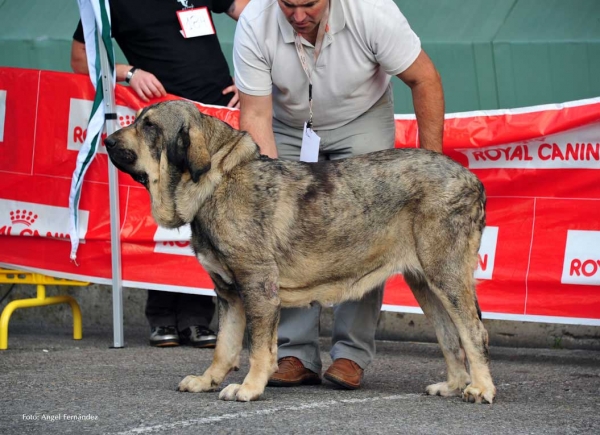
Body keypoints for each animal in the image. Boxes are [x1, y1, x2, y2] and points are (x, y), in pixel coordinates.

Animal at [103, 99, 496, 406]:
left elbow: (258, 348)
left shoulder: (258, 287)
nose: (106, 139)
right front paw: (207, 381)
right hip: (425, 283)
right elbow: (224, 347)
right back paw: (453, 384)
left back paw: (481, 389)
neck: (215, 184)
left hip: (446, 274)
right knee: (450, 336)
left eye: (149, 126)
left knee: (473, 332)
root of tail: (472, 180)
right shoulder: (229, 294)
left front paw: (249, 387)